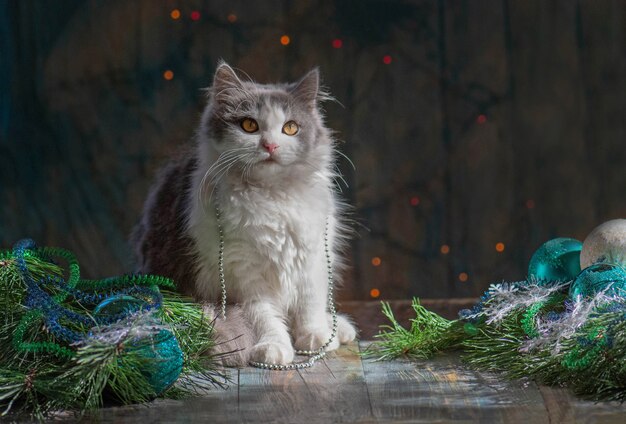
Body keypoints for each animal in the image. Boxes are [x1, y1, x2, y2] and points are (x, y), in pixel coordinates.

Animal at [132, 62, 356, 364]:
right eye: (249, 126)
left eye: (290, 128)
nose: (270, 145)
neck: (272, 196)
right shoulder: (243, 275)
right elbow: (265, 318)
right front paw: (274, 348)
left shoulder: (311, 257)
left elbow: (309, 304)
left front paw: (316, 337)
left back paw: (338, 328)